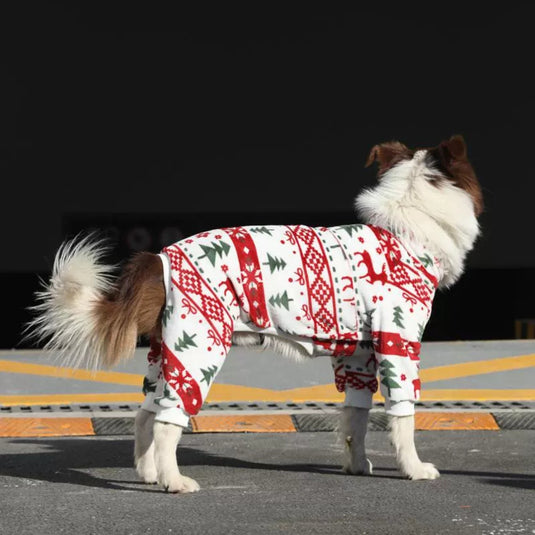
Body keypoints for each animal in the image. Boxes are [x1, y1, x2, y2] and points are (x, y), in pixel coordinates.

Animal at [27, 135, 484, 494]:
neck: (406, 231)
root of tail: (159, 257)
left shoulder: (358, 354)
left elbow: (355, 416)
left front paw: (356, 467)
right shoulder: (398, 342)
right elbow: (403, 415)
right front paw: (414, 468)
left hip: (166, 352)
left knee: (145, 416)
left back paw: (149, 473)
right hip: (199, 347)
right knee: (167, 421)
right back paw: (174, 482)